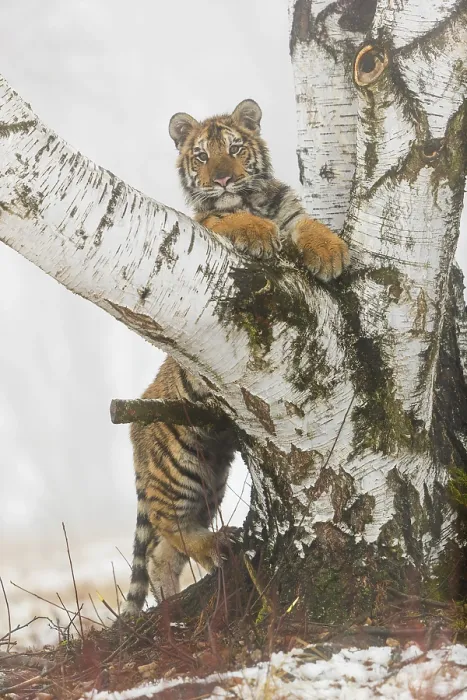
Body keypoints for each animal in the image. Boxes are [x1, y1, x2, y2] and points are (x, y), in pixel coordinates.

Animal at [123, 99, 350, 614]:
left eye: (236, 148)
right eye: (202, 156)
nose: (224, 179)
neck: (251, 201)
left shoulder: (290, 212)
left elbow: (307, 224)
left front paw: (330, 252)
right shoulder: (207, 222)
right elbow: (230, 221)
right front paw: (258, 232)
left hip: (210, 473)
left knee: (164, 554)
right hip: (181, 466)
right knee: (166, 528)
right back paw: (215, 547)